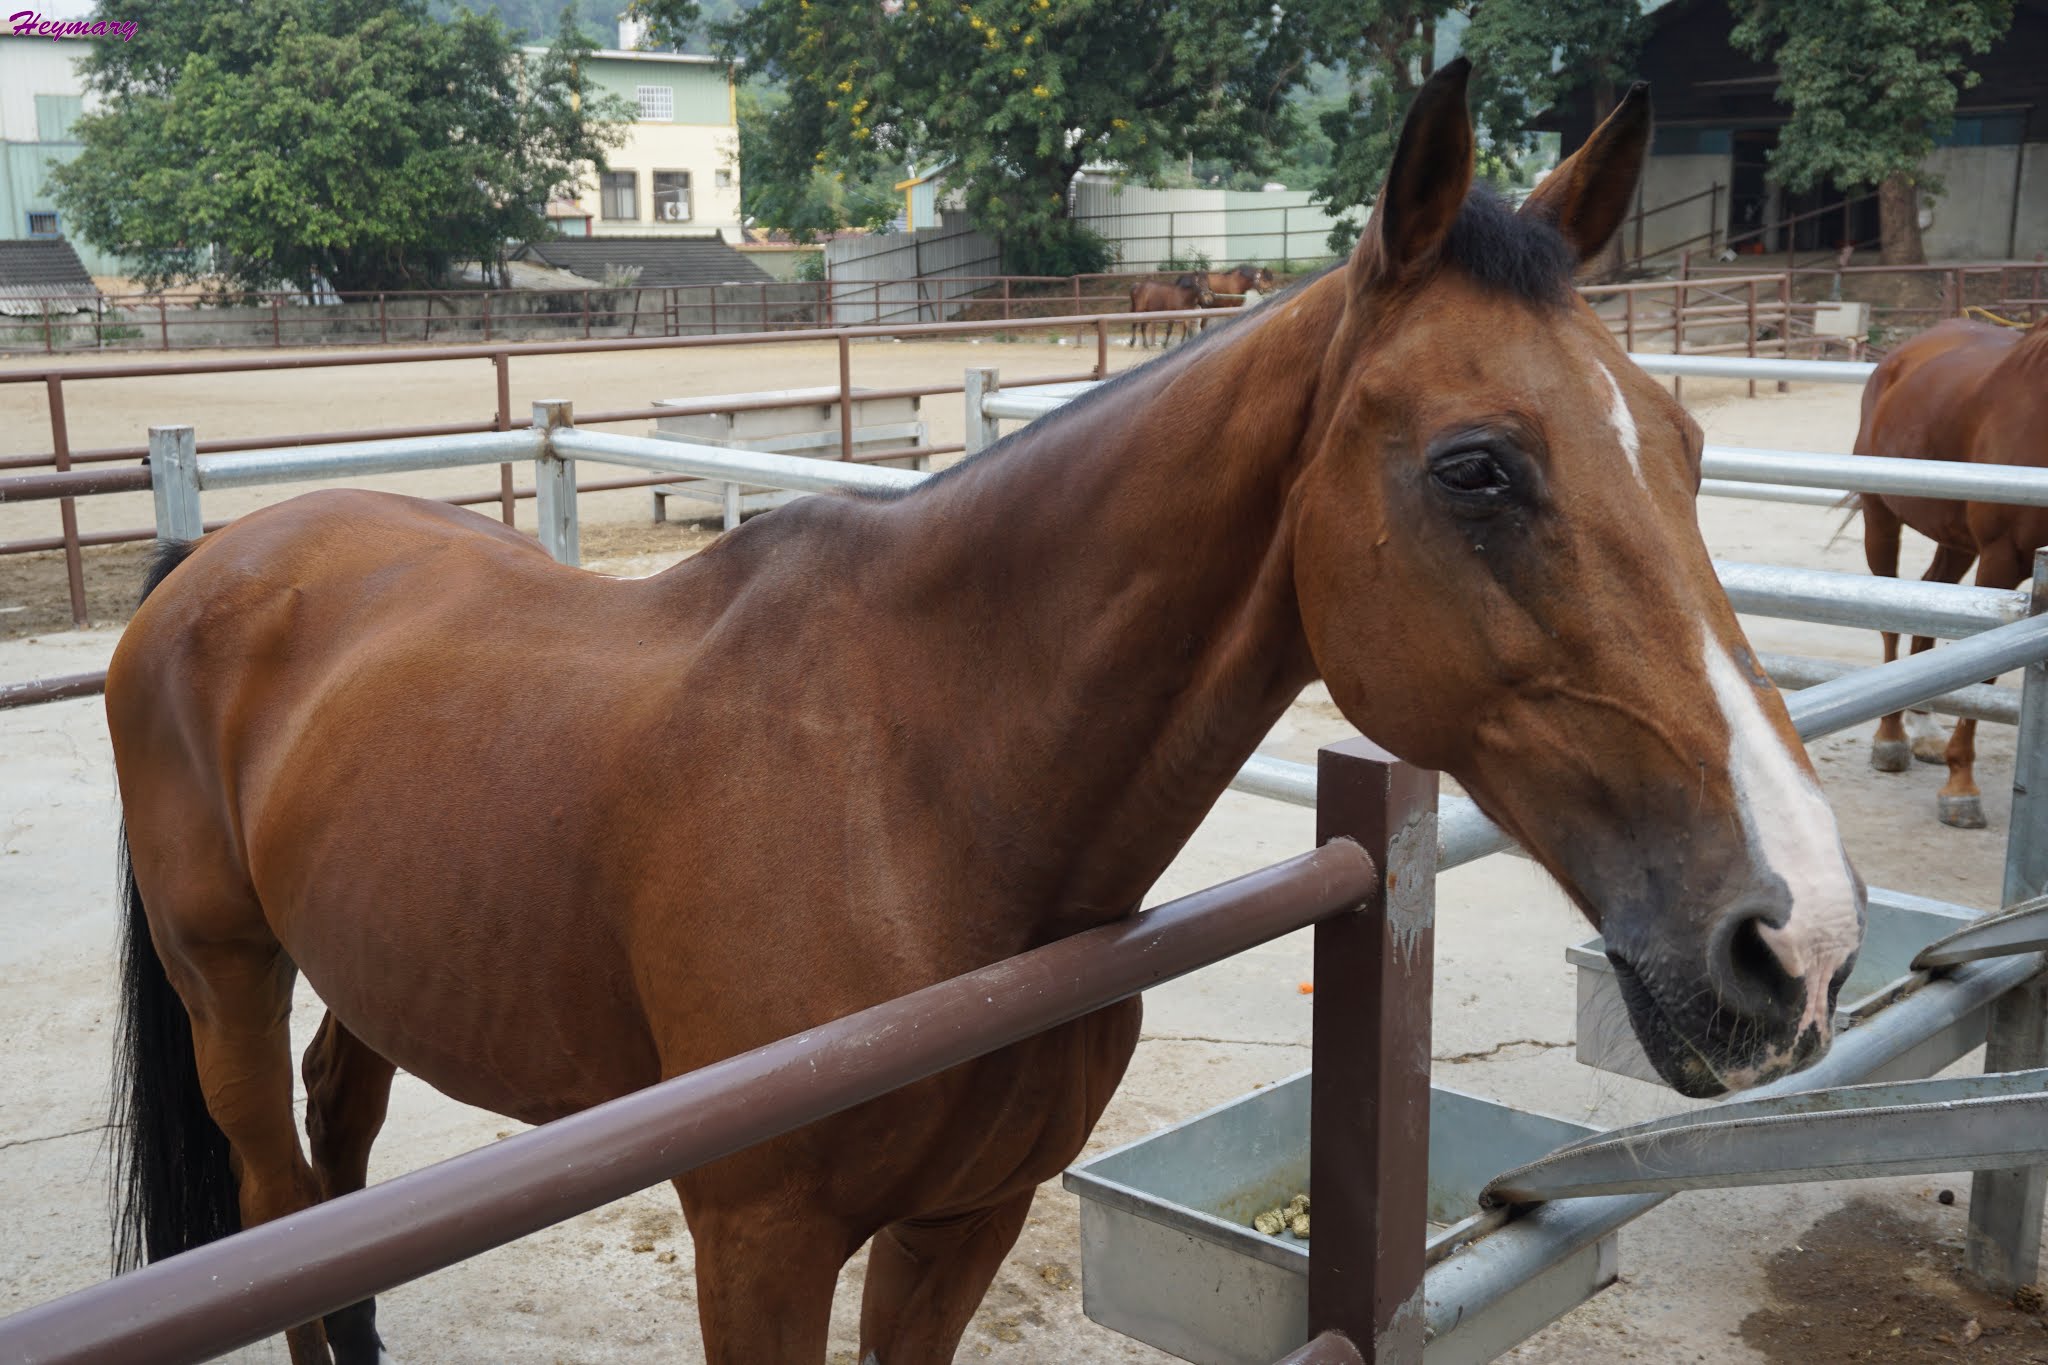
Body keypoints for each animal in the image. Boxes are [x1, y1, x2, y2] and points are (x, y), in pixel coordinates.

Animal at [112, 63, 1875, 1365]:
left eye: (1684, 448)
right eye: (1479, 468)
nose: (1797, 934)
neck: (921, 796)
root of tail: (215, 567)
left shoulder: (964, 1224)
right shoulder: (758, 1243)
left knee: (338, 1152)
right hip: (226, 980)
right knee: (275, 1188)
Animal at [1859, 319, 2048, 826]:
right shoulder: (2002, 556)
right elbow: (1985, 676)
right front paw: (1961, 787)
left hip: (1955, 540)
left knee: (1930, 596)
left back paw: (1924, 725)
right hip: (1880, 517)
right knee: (1890, 620)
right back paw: (1892, 738)